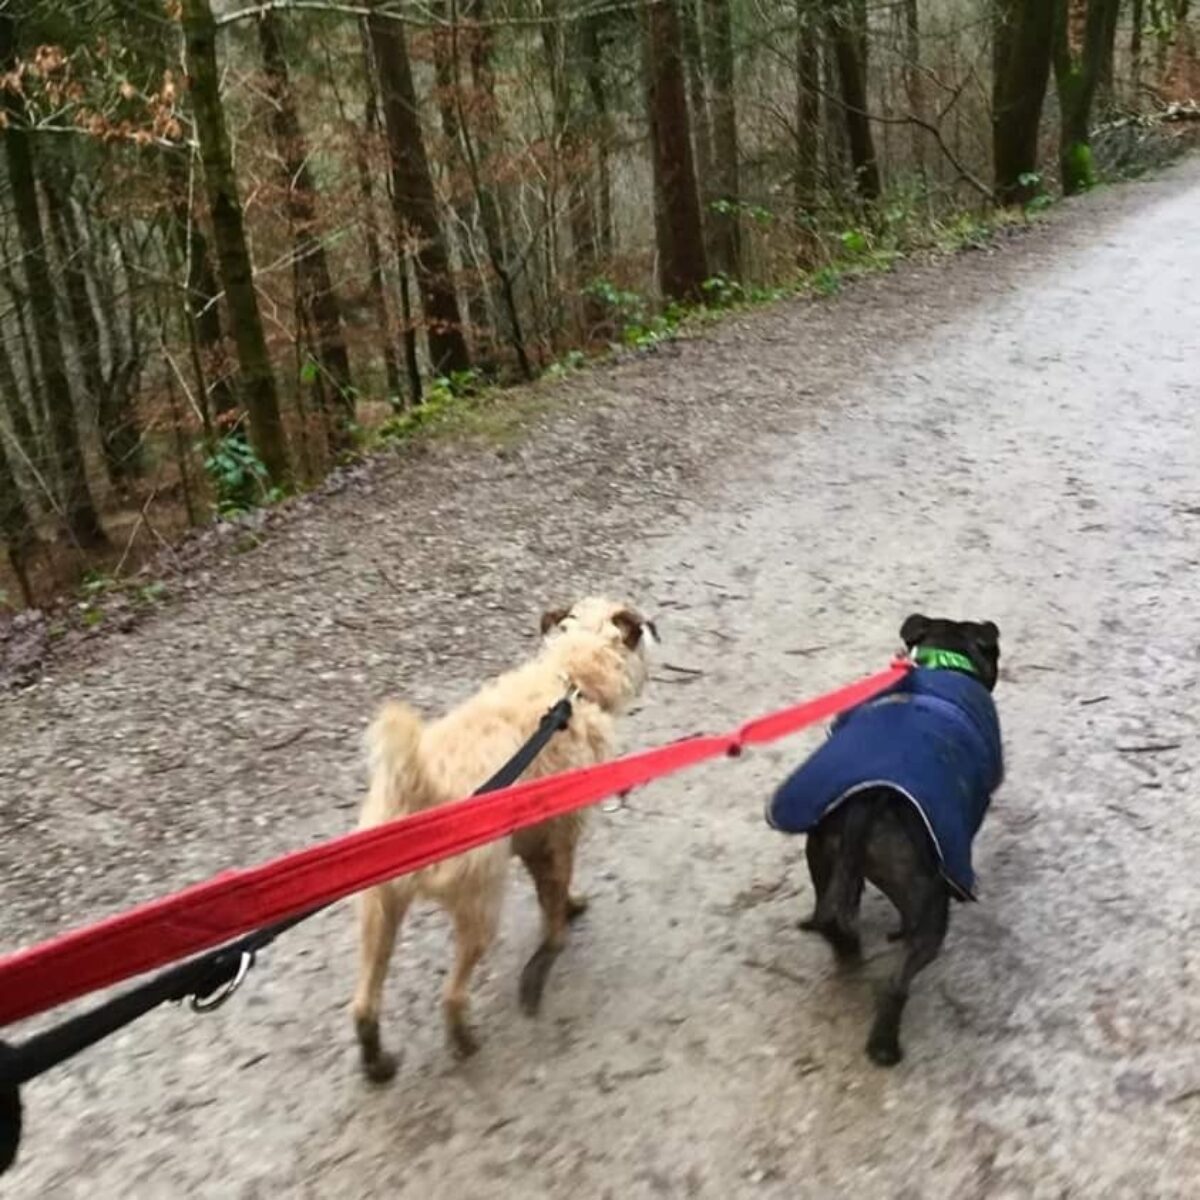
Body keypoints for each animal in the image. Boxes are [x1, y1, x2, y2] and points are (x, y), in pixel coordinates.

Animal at [350, 597, 657, 1080]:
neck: (572, 682)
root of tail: (416, 790)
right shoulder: (561, 835)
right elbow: (556, 893)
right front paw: (562, 923)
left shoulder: (533, 841)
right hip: (480, 905)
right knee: (452, 995)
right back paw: (463, 1040)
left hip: (379, 908)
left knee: (365, 1000)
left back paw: (377, 1060)